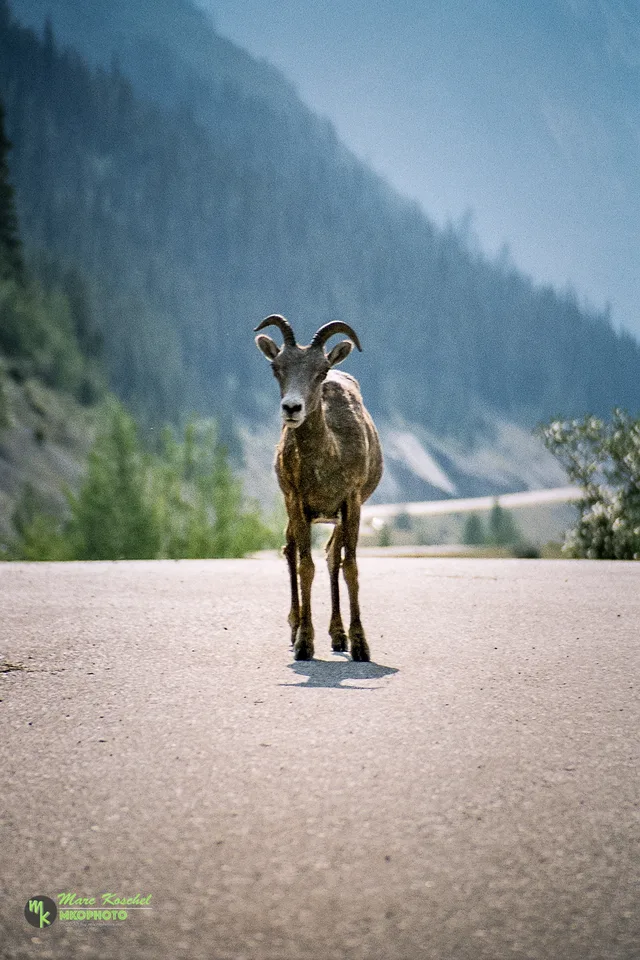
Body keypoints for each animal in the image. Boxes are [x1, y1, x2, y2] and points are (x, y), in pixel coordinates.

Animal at [255, 314, 383, 661]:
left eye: (321, 371)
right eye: (276, 367)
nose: (291, 408)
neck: (328, 460)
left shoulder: (351, 503)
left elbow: (349, 567)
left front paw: (360, 645)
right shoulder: (297, 502)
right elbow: (305, 566)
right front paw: (304, 644)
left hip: (335, 519)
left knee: (331, 557)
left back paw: (338, 637)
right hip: (295, 513)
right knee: (292, 552)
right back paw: (296, 627)